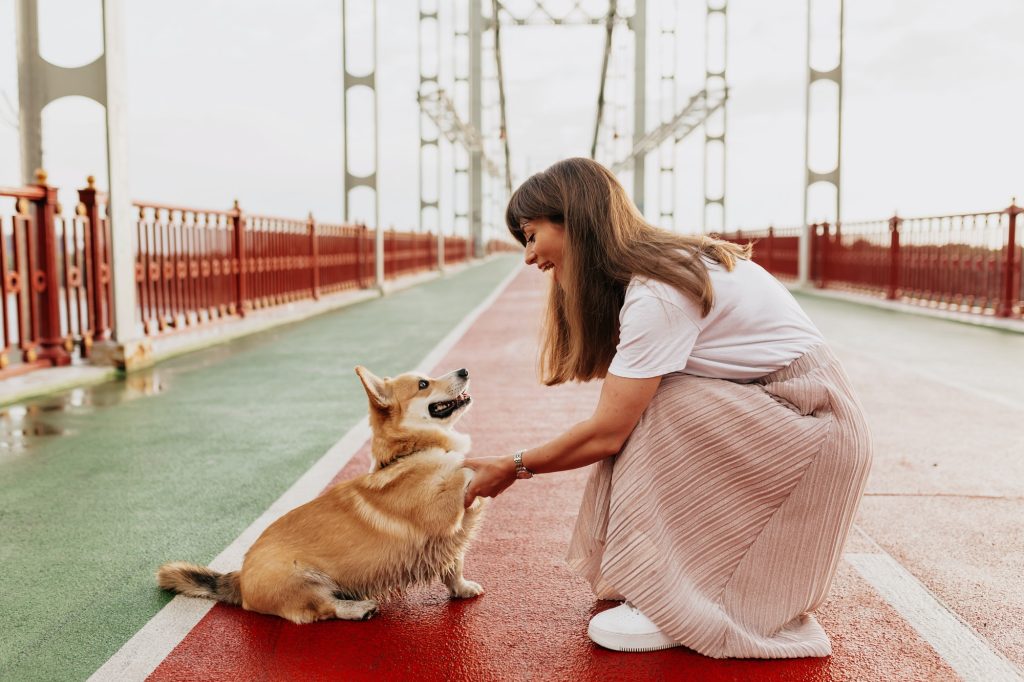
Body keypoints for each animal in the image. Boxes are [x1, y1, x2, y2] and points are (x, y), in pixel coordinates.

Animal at [155, 366, 483, 622]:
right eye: (423, 384)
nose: (465, 370)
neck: (412, 450)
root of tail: (240, 577)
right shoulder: (441, 514)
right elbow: (463, 472)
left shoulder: (451, 539)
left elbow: (454, 568)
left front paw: (462, 589)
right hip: (303, 581)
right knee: (322, 609)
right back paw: (358, 608)